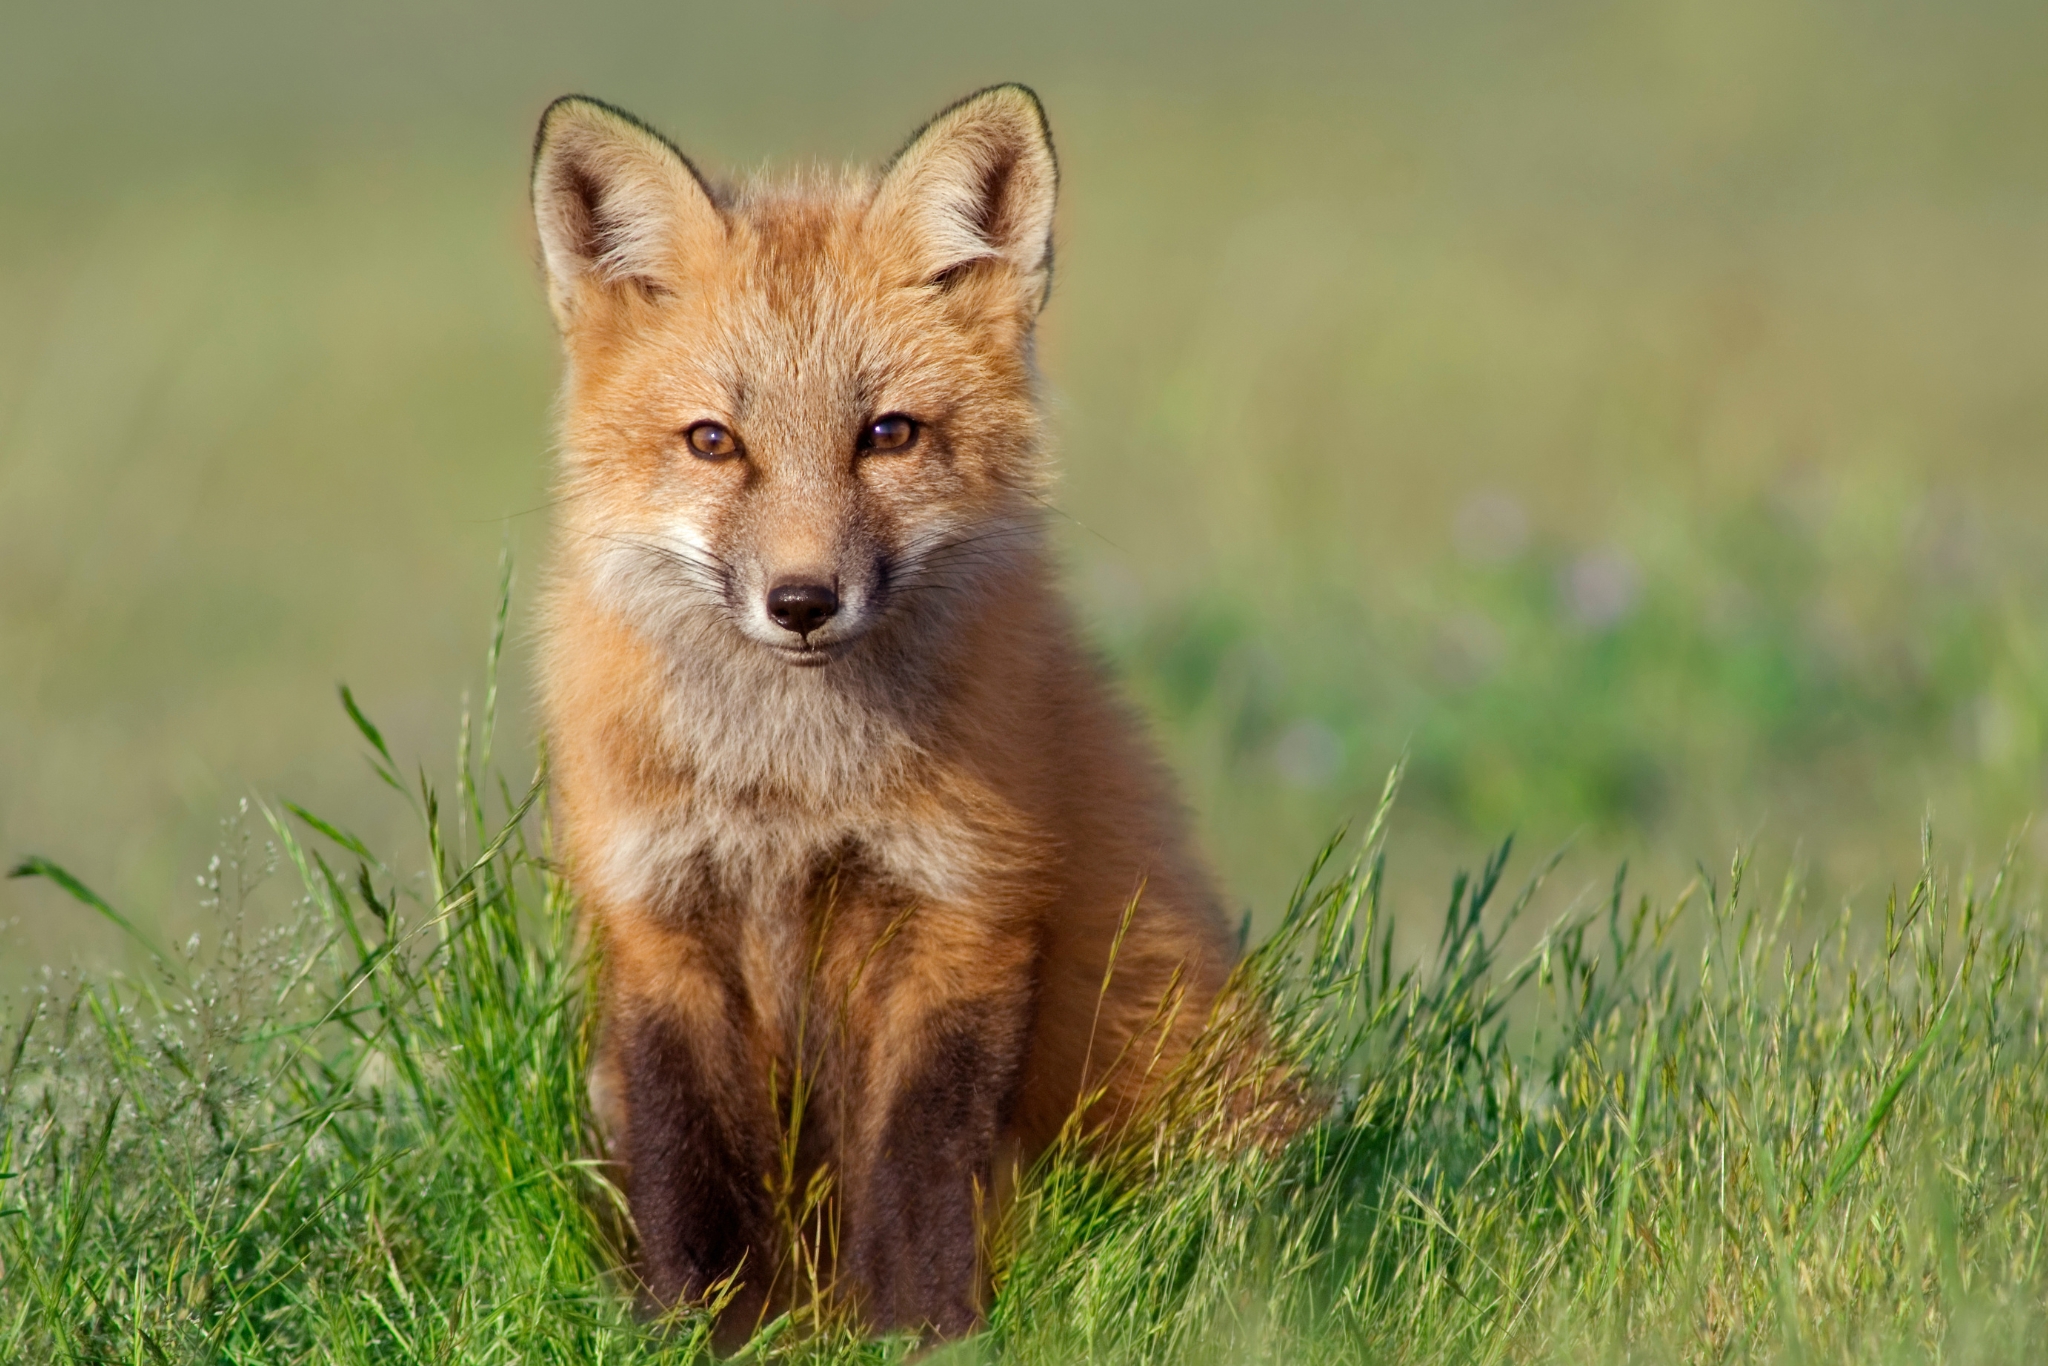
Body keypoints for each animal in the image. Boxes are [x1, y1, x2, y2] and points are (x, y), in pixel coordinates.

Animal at [530, 84, 1241, 1341]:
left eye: (887, 434)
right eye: (713, 441)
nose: (802, 601)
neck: (787, 790)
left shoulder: (963, 907)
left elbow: (915, 1165)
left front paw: (923, 1333)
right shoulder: (656, 916)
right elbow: (684, 1165)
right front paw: (700, 1330)